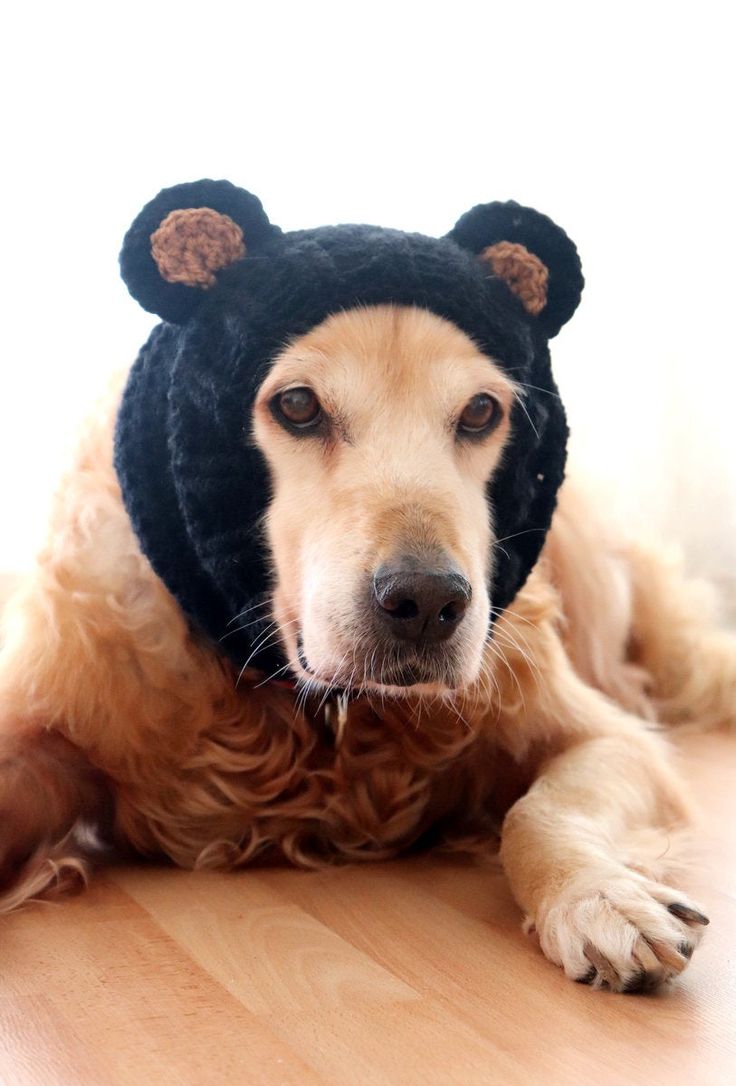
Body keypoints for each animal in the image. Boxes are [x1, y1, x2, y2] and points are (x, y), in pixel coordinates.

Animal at [1, 186, 736, 994]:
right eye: (296, 405)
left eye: (481, 412)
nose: (428, 606)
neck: (315, 721)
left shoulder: (603, 736)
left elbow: (539, 810)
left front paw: (600, 898)